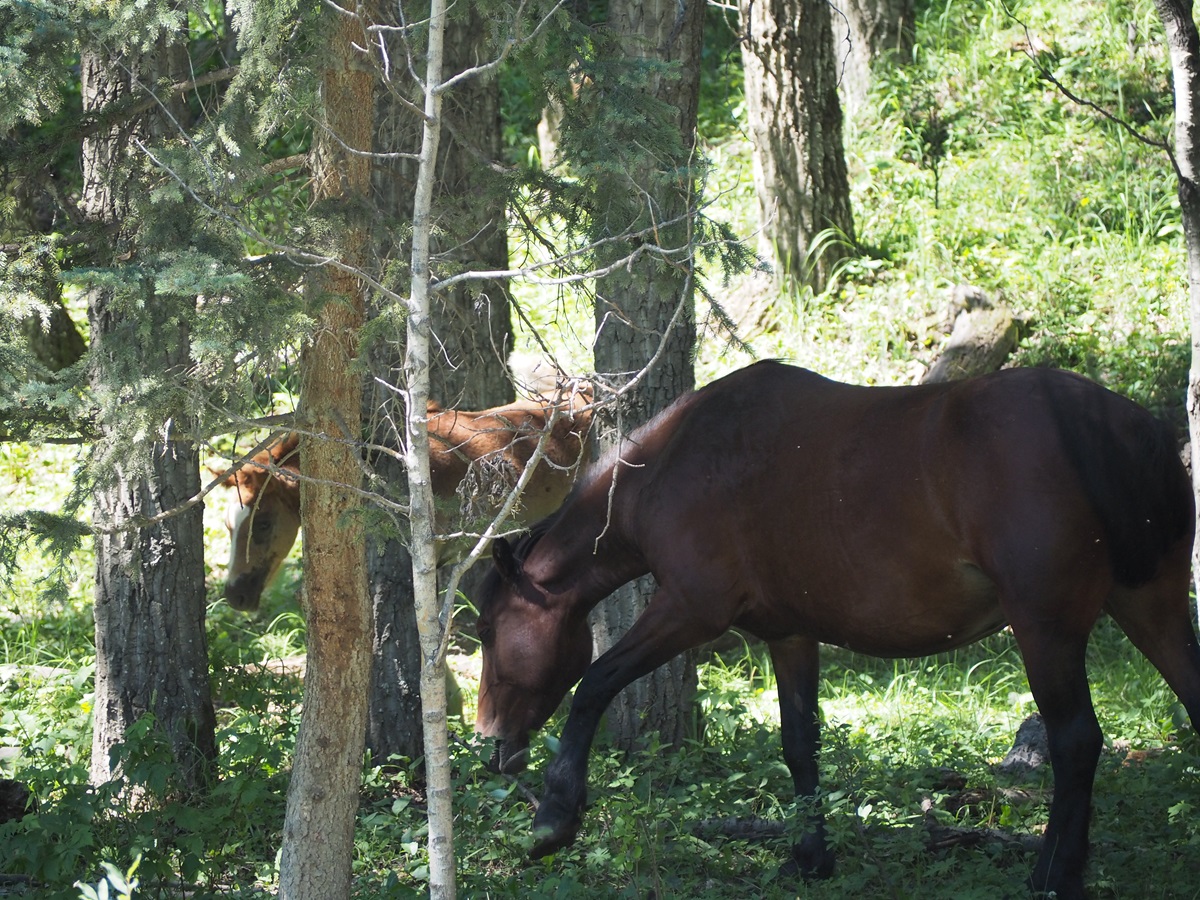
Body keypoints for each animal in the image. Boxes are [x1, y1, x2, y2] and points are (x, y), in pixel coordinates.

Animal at [472, 360, 1200, 900]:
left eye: (490, 631)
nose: (491, 743)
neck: (678, 464)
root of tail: (1121, 425)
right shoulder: (789, 634)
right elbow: (801, 745)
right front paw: (808, 856)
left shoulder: (689, 611)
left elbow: (594, 684)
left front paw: (554, 817)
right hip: (1151, 606)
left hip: (1046, 628)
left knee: (1076, 742)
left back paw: (1053, 875)